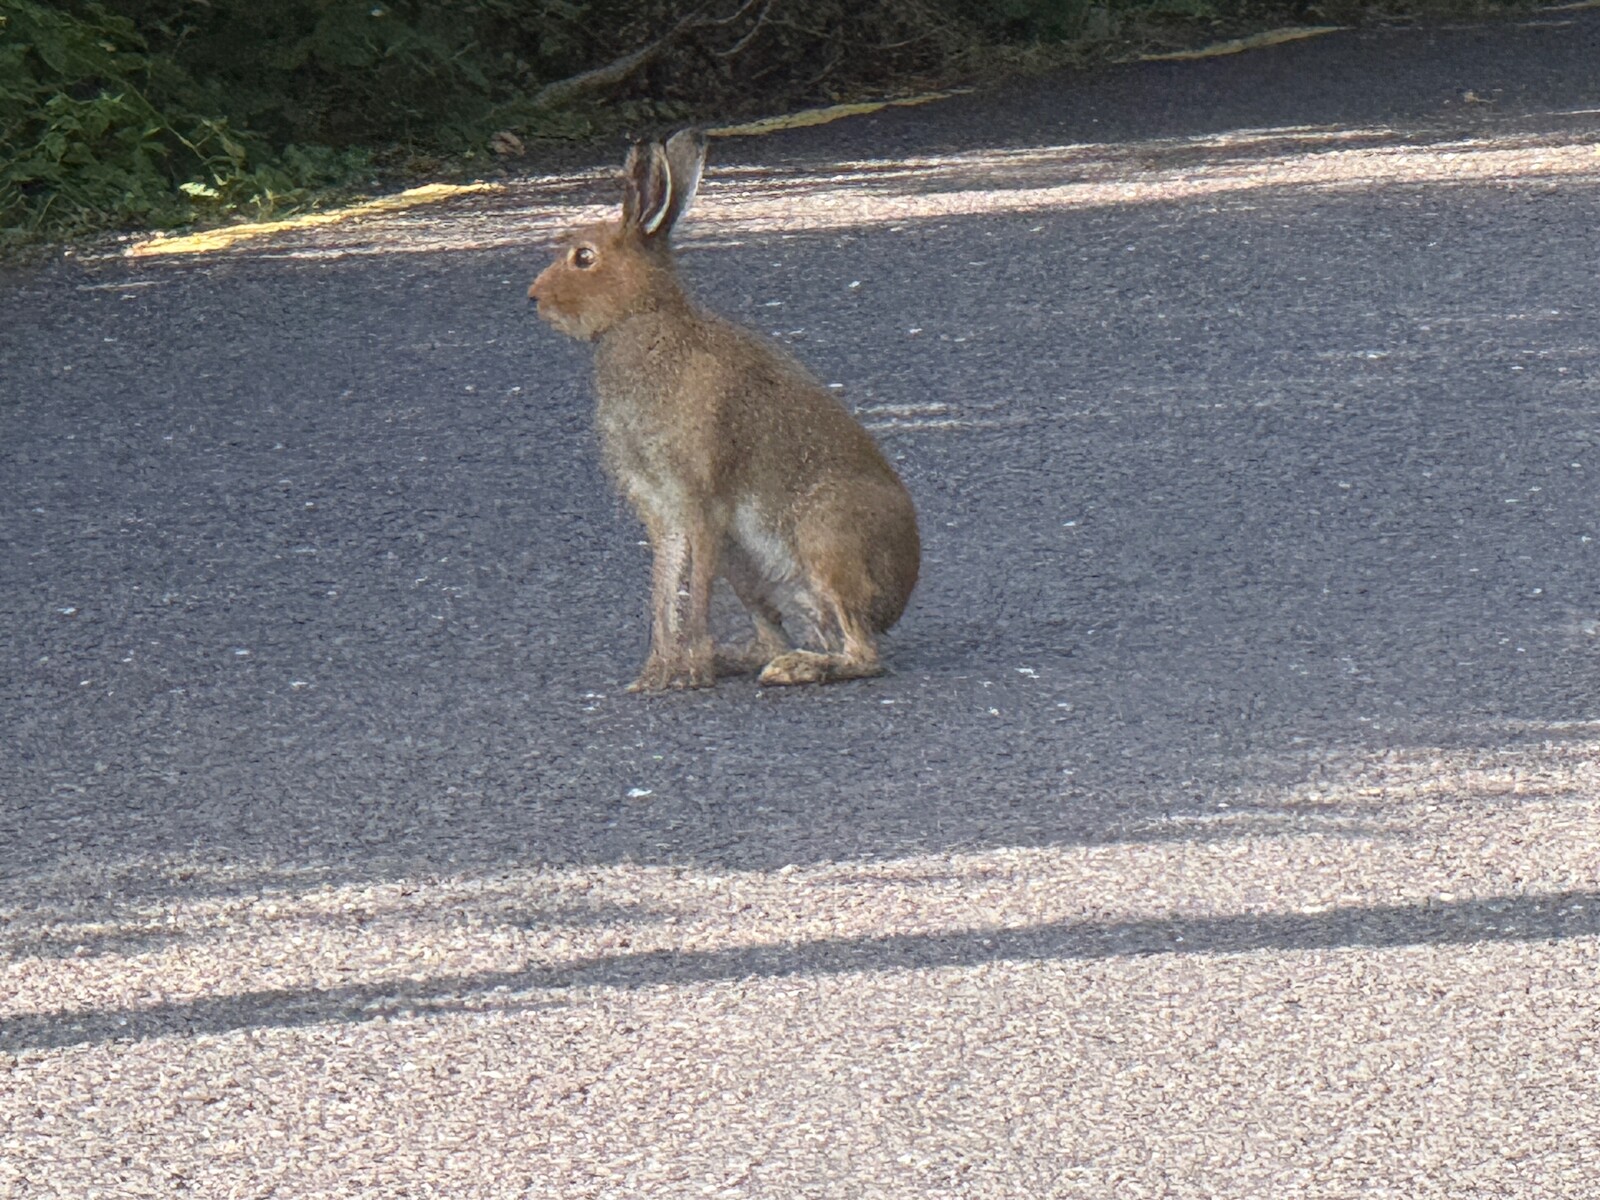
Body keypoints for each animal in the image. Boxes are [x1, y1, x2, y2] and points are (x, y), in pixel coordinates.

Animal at [527, 129, 920, 692]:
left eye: (584, 257)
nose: (533, 297)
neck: (642, 320)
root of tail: (897, 598)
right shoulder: (663, 510)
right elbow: (665, 587)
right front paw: (655, 674)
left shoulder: (702, 499)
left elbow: (693, 591)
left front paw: (688, 671)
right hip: (750, 571)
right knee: (780, 634)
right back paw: (751, 658)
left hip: (828, 536)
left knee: (863, 653)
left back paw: (792, 668)